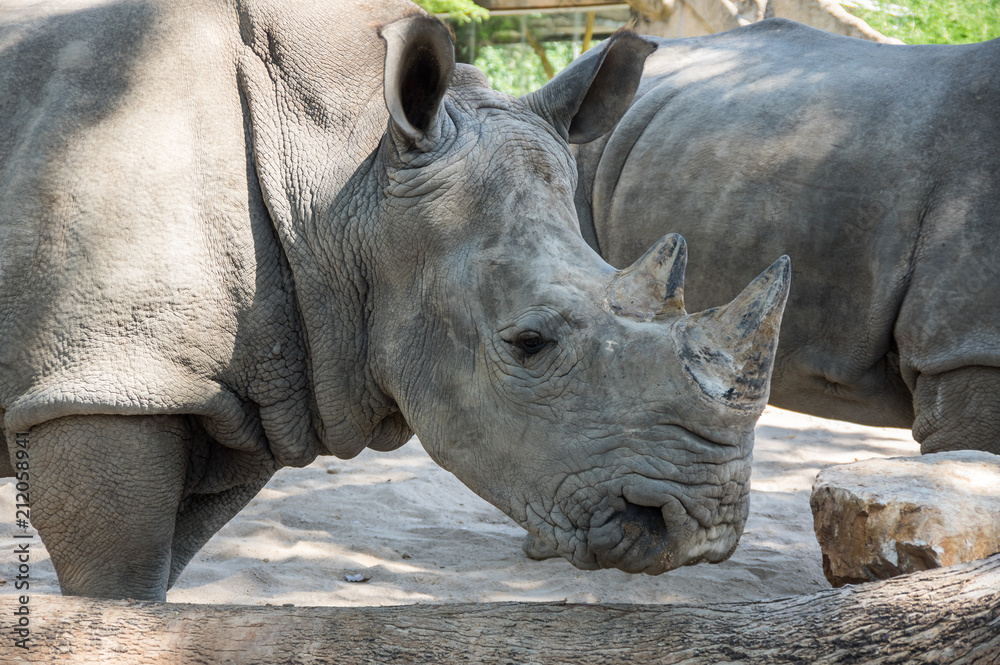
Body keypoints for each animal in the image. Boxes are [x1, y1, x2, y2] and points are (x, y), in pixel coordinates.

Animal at [0, 0, 790, 601]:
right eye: (530, 343)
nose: (705, 527)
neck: (345, 171)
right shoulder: (103, 384)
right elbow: (119, 587)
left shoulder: (224, 392)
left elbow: (159, 575)